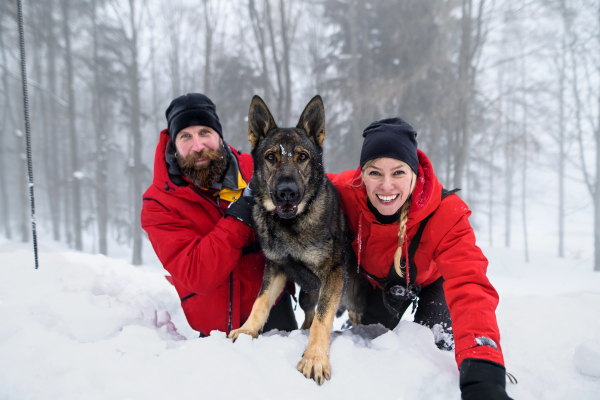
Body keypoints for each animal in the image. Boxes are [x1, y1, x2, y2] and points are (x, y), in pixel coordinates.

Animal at [229, 95, 366, 386]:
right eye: (271, 157)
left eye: (302, 157)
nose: (287, 192)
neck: (290, 224)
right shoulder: (276, 267)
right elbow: (261, 301)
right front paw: (247, 331)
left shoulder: (333, 274)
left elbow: (323, 319)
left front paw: (315, 359)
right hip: (305, 294)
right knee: (308, 314)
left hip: (353, 297)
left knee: (349, 316)